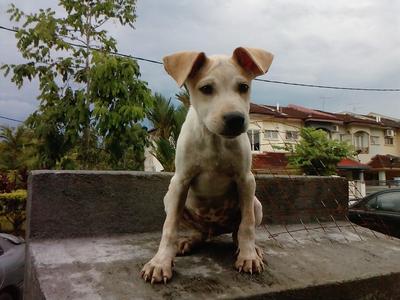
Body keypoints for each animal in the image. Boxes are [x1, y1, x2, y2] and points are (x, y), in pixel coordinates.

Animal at [140, 47, 272, 284]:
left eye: (243, 87)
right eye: (206, 89)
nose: (235, 119)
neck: (214, 140)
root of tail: (213, 231)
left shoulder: (246, 180)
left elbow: (247, 225)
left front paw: (249, 256)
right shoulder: (180, 181)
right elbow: (169, 227)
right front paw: (160, 262)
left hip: (256, 204)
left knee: (238, 231)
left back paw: (249, 249)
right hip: (170, 199)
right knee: (197, 233)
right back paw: (187, 242)